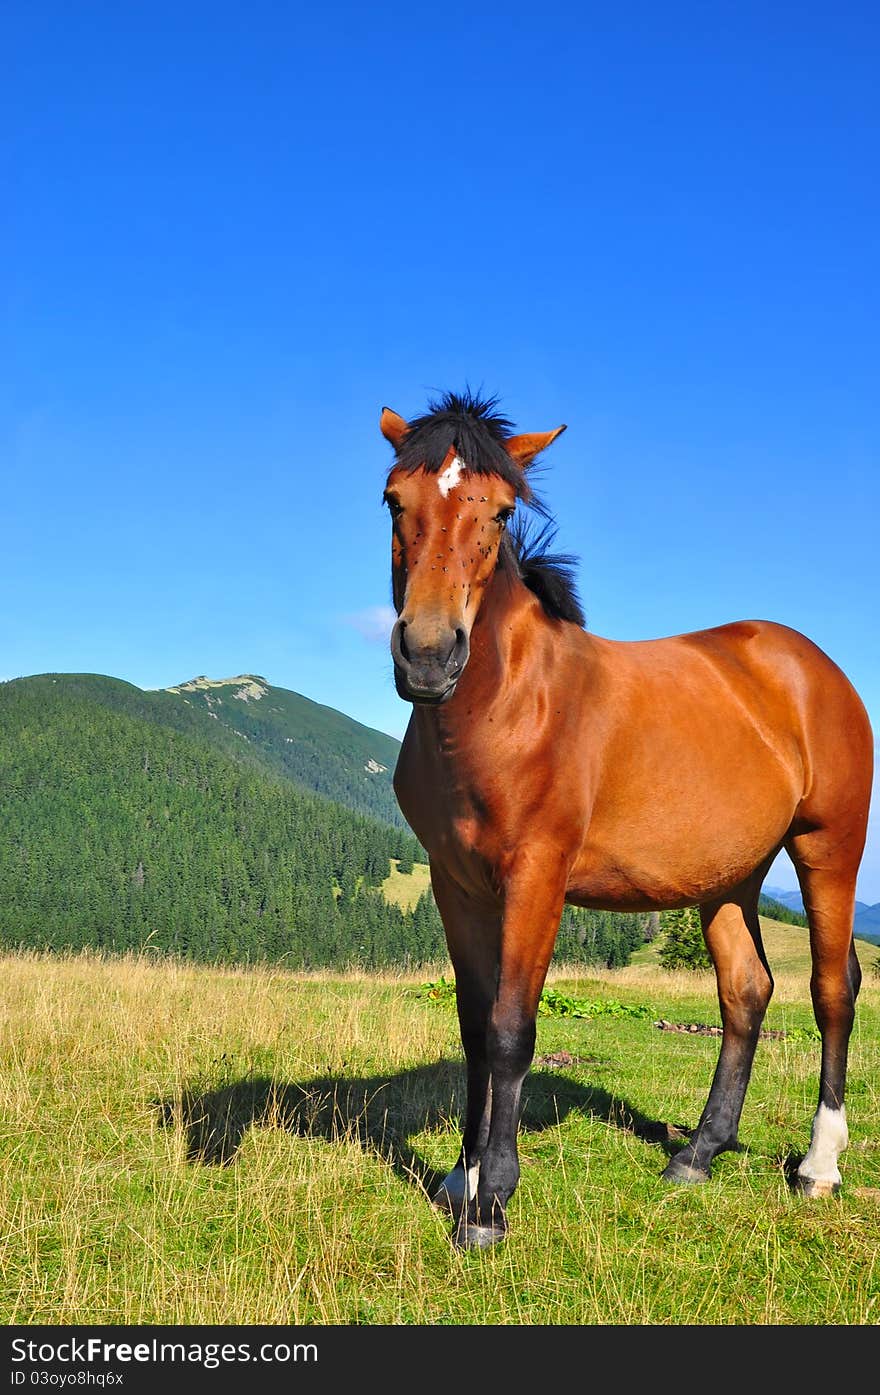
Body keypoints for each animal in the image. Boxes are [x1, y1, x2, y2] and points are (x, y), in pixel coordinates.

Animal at [379, 387, 875, 1249]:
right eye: (392, 499)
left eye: (501, 511)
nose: (430, 656)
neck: (505, 708)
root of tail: (811, 665)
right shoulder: (456, 883)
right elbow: (473, 1027)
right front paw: (459, 1177)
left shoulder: (537, 877)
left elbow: (510, 1028)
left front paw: (491, 1202)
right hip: (729, 876)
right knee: (746, 989)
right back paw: (698, 1154)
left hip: (828, 850)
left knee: (831, 988)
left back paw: (819, 1165)